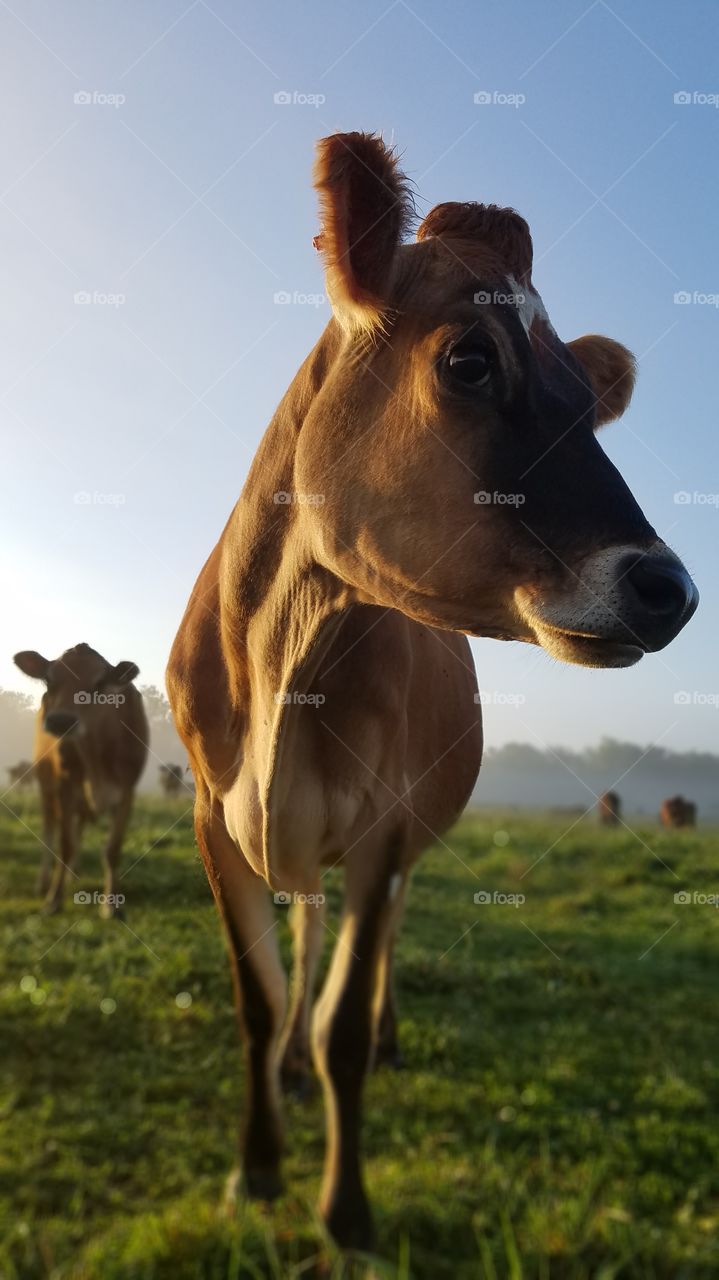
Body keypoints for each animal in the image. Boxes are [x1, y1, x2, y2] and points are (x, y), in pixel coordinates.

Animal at [12, 645, 147, 916]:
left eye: (99, 684)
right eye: (49, 680)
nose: (60, 720)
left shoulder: (128, 789)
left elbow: (113, 848)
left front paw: (111, 903)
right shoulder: (66, 785)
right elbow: (65, 844)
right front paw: (54, 900)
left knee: (79, 826)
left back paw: (73, 873)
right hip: (45, 785)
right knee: (49, 830)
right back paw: (44, 882)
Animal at [163, 132, 695, 1249]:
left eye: (587, 400)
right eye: (468, 359)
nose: (668, 589)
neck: (281, 665)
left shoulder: (386, 824)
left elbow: (344, 1018)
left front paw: (344, 1207)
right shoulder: (210, 818)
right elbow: (260, 1002)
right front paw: (257, 1166)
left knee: (376, 949)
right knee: (307, 931)